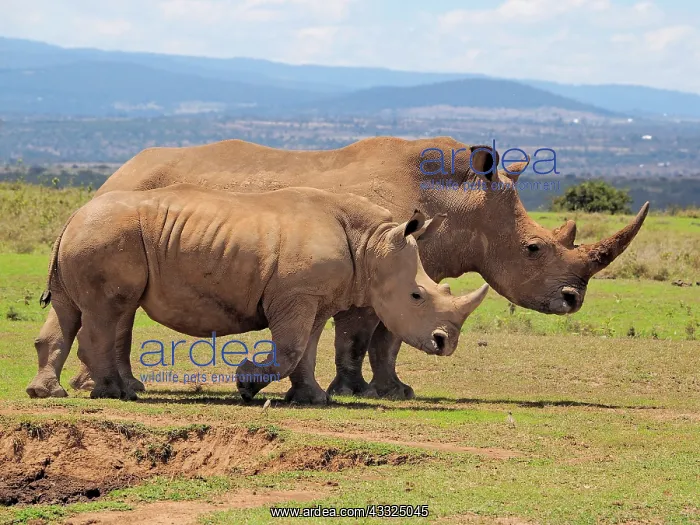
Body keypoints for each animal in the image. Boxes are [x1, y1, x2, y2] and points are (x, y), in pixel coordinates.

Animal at [32, 184, 489, 402]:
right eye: (417, 296)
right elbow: (289, 349)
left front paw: (312, 399)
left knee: (71, 311)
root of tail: (74, 215)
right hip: (107, 237)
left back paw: (48, 393)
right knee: (108, 312)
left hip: (91, 236)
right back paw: (115, 392)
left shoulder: (314, 299)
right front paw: (245, 384)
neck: (373, 244)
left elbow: (306, 349)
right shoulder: (296, 295)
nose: (444, 343)